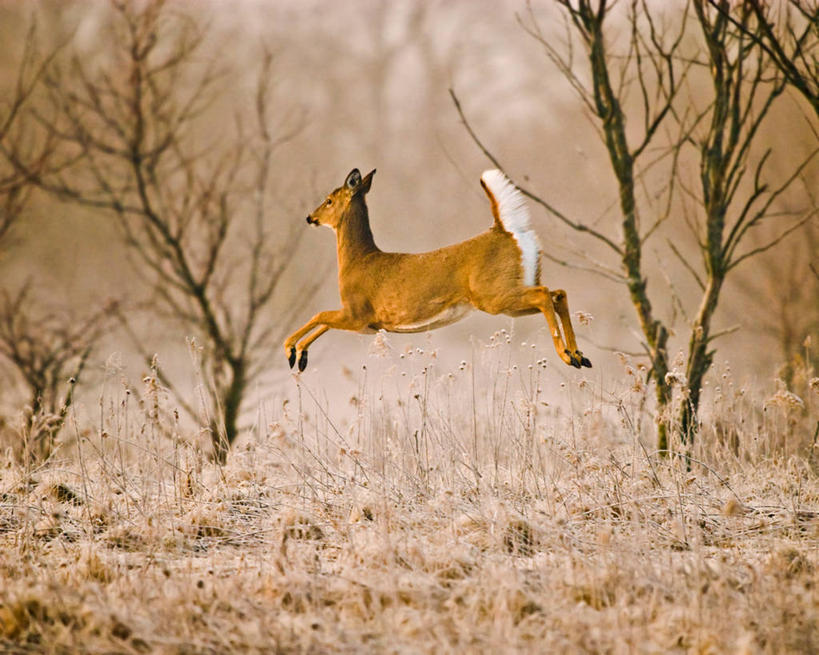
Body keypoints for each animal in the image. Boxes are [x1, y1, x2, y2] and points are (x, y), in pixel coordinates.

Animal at [286, 168, 592, 374]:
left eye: (329, 199)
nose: (310, 217)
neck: (359, 260)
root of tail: (506, 229)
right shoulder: (363, 323)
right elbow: (323, 321)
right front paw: (300, 358)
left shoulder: (358, 313)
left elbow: (319, 315)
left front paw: (291, 351)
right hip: (512, 290)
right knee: (557, 292)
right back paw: (580, 356)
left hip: (494, 294)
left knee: (544, 294)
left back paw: (567, 355)